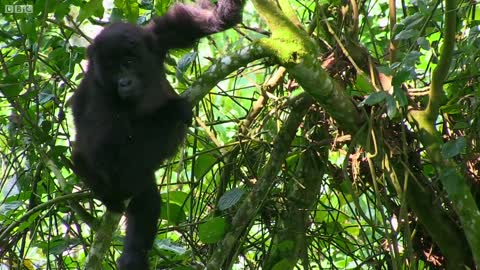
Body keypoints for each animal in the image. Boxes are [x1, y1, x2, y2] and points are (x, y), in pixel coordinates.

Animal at [70, 1, 244, 268]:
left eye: (128, 62)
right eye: (111, 69)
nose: (124, 82)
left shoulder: (155, 39)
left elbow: (211, 19)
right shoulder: (98, 94)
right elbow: (106, 152)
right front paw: (171, 110)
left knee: (147, 205)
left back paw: (133, 257)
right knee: (83, 158)